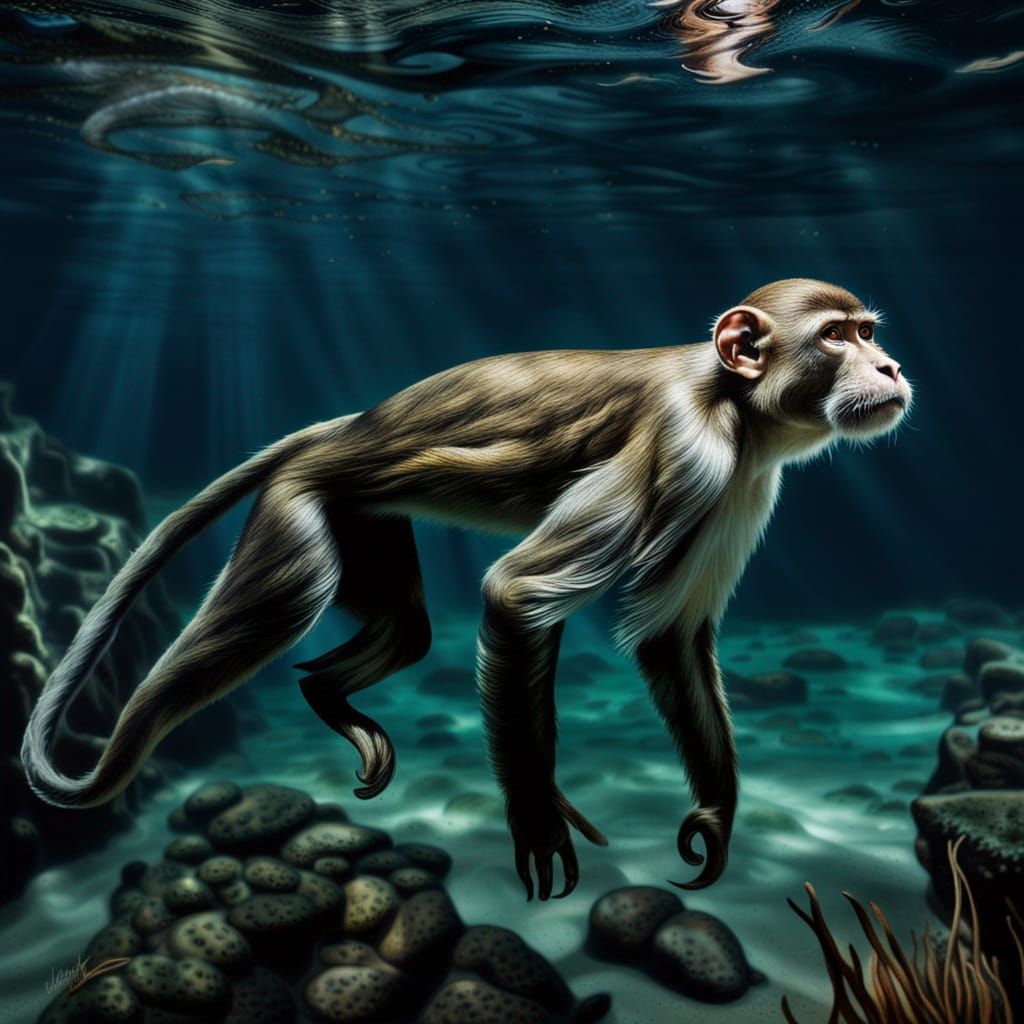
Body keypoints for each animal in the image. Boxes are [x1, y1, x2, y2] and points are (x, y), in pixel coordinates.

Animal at [21, 278, 912, 901]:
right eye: (836, 338)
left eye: (867, 332)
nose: (892, 366)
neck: (734, 400)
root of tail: (348, 425)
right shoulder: (688, 447)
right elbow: (518, 594)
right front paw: (535, 813)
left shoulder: (745, 484)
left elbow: (670, 639)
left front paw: (715, 819)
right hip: (295, 503)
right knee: (276, 610)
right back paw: (111, 768)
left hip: (360, 515)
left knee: (405, 627)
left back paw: (329, 697)